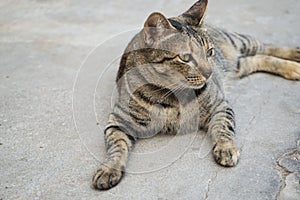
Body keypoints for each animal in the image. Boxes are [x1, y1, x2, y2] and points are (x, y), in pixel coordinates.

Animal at [92, 0, 298, 190]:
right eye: (185, 58)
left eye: (210, 52)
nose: (210, 73)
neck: (172, 96)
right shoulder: (118, 121)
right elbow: (117, 146)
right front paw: (109, 168)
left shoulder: (220, 105)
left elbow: (222, 128)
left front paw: (226, 147)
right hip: (239, 64)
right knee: (257, 59)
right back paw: (293, 67)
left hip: (240, 43)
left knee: (264, 46)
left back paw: (295, 56)